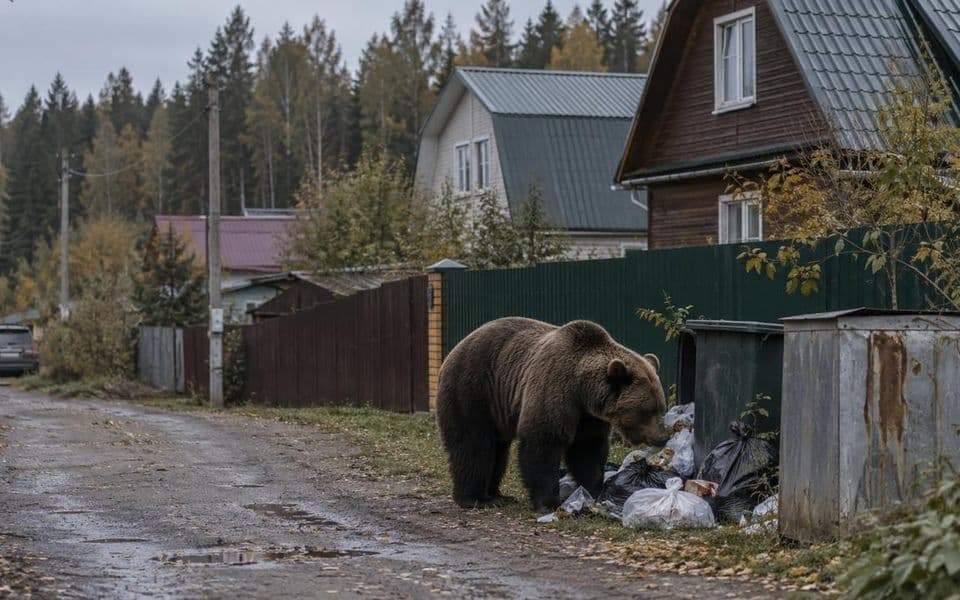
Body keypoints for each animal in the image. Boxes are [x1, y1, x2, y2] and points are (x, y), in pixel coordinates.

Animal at [435, 317, 670, 512]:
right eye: (647, 411)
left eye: (661, 407)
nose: (663, 437)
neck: (581, 389)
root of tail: (453, 351)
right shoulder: (554, 389)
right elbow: (543, 443)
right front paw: (548, 503)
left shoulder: (588, 416)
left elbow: (587, 449)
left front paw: (594, 489)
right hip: (473, 389)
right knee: (473, 445)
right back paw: (474, 498)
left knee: (498, 449)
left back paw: (497, 495)